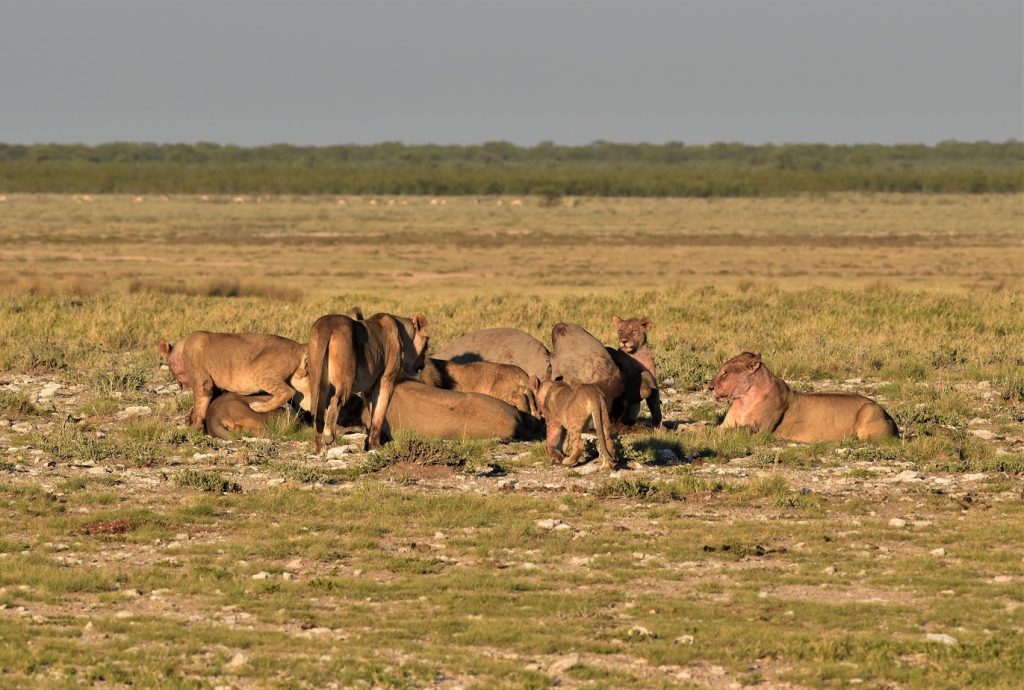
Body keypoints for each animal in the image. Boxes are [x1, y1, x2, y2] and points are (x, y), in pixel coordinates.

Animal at [155, 329, 307, 427]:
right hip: (300, 384)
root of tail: (299, 346)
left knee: (287, 391)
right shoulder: (215, 386)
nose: (181, 385)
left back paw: (259, 407)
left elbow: (200, 404)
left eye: (171, 369)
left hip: (261, 372)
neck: (183, 346)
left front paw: (194, 428)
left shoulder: (203, 380)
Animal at [305, 311, 430, 450]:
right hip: (346, 379)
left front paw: (372, 443)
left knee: (319, 409)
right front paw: (376, 446)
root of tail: (326, 326)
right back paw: (329, 437)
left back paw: (319, 448)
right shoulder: (386, 380)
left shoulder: (369, 388)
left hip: (316, 380)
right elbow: (380, 413)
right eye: (426, 345)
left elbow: (373, 413)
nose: (422, 365)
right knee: (335, 401)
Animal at [708, 350, 901, 440]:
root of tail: (886, 412)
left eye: (725, 373)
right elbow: (715, 428)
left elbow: (735, 430)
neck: (743, 399)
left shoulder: (760, 429)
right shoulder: (726, 424)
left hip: (869, 416)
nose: (709, 387)